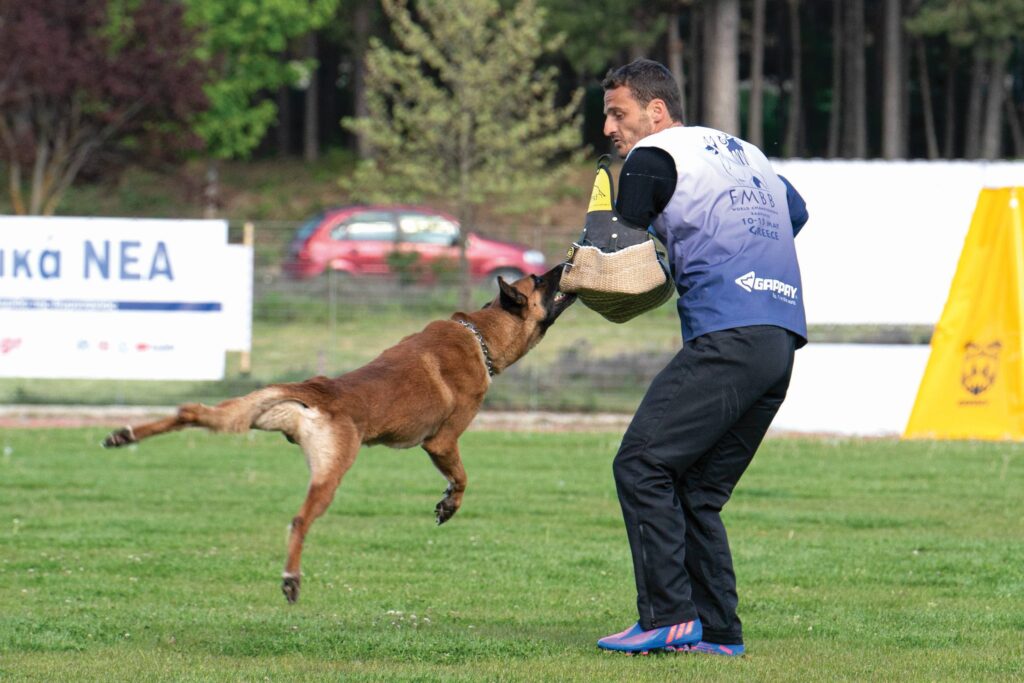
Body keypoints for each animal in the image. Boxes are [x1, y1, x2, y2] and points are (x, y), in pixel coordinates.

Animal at [102, 265, 576, 603]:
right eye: (539, 280)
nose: (564, 262)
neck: (480, 333)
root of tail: (316, 391)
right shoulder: (442, 441)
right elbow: (460, 478)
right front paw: (449, 505)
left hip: (239, 415)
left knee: (190, 412)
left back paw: (124, 435)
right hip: (332, 472)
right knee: (299, 520)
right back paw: (291, 579)